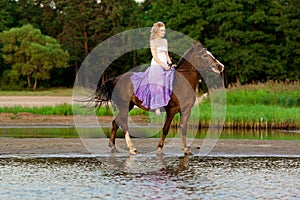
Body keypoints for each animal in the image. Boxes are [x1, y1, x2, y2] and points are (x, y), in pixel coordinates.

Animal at [92, 41, 224, 155]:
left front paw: (186, 149)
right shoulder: (171, 110)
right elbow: (166, 129)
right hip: (124, 106)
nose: (220, 66)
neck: (182, 82)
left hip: (128, 106)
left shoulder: (186, 110)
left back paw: (113, 147)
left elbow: (184, 128)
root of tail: (117, 79)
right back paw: (132, 148)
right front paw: (160, 148)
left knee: (115, 122)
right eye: (204, 55)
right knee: (123, 124)